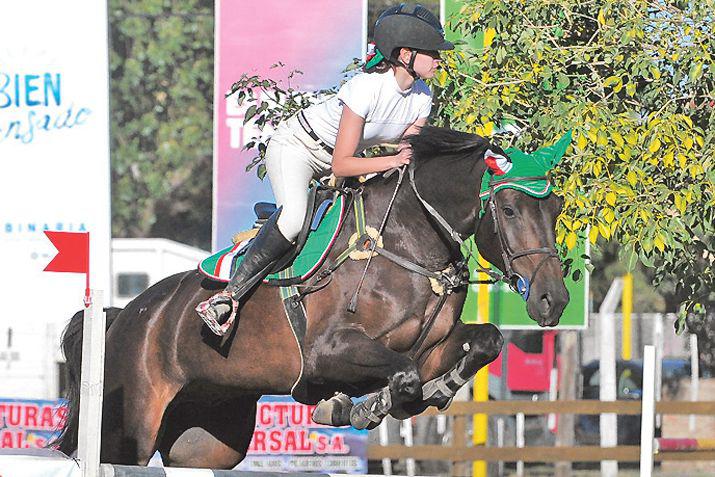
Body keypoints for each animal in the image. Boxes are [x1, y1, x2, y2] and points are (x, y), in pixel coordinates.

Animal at [54, 124, 572, 466]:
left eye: (557, 208)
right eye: (509, 209)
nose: (554, 300)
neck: (407, 242)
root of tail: (126, 315)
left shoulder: (431, 348)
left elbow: (484, 342)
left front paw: (434, 392)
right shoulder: (328, 353)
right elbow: (400, 376)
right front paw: (359, 407)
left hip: (207, 437)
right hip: (129, 431)